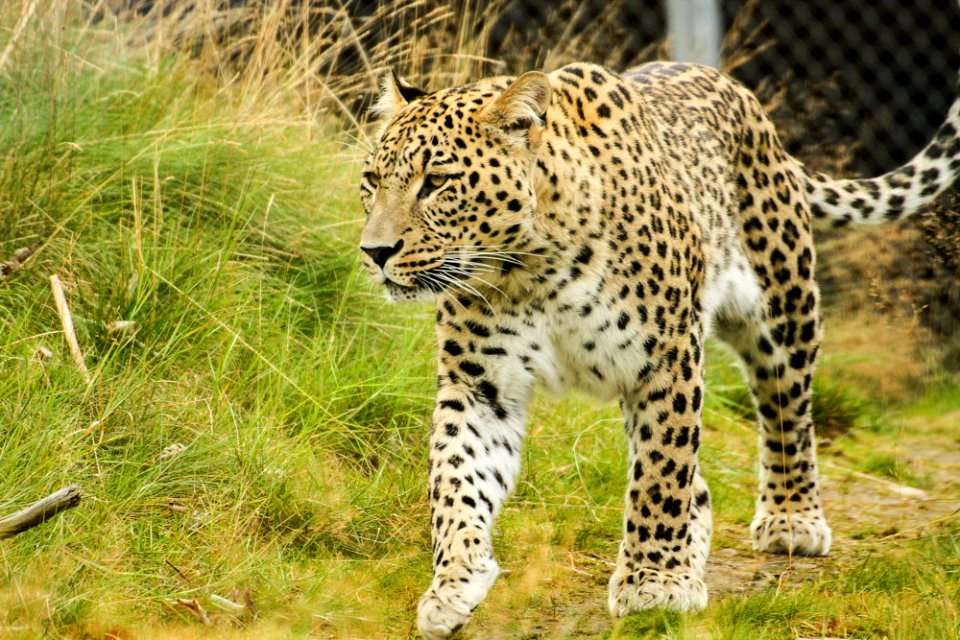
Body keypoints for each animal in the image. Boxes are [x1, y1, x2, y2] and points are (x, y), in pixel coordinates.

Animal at [354, 53, 960, 636]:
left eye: (436, 182)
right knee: (704, 486)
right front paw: (453, 584)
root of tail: (744, 99)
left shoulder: (666, 360)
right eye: (371, 179)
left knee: (787, 412)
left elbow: (661, 473)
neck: (531, 267)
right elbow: (456, 482)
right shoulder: (480, 386)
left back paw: (792, 519)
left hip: (784, 308)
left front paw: (654, 583)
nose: (374, 251)